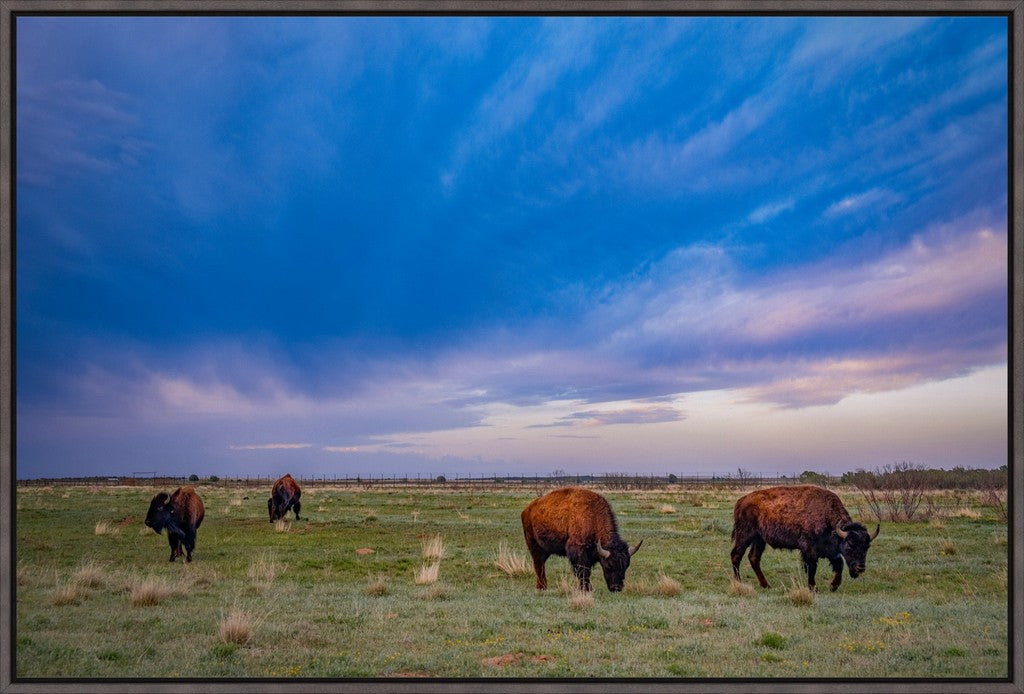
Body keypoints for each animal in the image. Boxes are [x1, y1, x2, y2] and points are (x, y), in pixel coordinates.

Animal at [729, 483, 880, 593]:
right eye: (849, 545)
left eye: (867, 546)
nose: (860, 568)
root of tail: (741, 501)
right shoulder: (809, 549)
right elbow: (812, 567)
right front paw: (814, 588)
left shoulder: (831, 551)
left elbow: (839, 564)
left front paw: (833, 586)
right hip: (745, 536)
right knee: (736, 555)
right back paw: (738, 582)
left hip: (759, 539)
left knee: (753, 558)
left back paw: (766, 585)